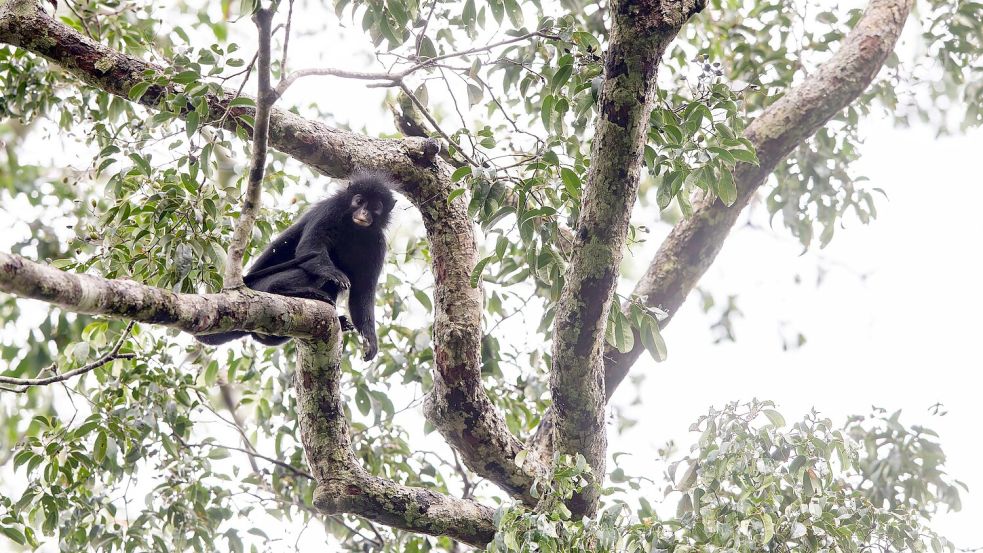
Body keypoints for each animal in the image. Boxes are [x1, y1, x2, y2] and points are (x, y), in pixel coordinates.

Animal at [196, 173, 396, 361]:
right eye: (359, 201)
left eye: (375, 207)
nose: (364, 214)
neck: (355, 229)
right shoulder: (330, 209)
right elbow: (310, 248)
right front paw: (332, 272)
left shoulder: (378, 244)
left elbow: (363, 292)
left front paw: (370, 340)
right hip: (261, 286)